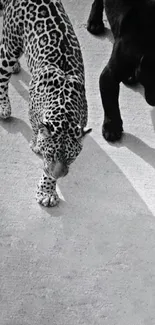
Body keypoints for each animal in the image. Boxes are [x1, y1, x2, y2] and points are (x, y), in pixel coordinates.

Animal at [0, 0, 91, 206]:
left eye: (71, 158)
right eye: (50, 155)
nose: (60, 175)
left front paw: (48, 190)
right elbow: (39, 139)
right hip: (10, 45)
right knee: (2, 71)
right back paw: (3, 107)